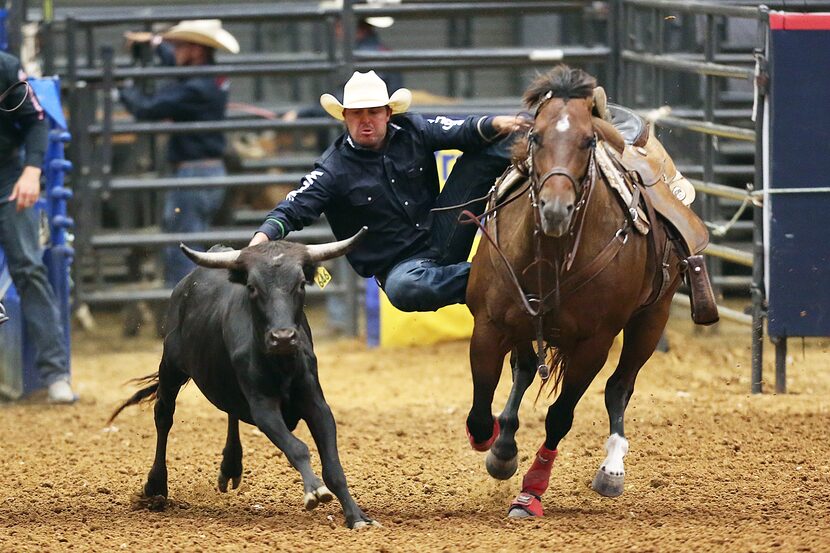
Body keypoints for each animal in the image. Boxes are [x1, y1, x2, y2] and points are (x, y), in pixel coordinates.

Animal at [468, 66, 688, 516]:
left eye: (588, 141)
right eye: (535, 136)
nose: (556, 209)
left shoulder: (593, 344)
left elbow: (560, 416)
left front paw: (531, 491)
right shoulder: (489, 325)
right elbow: (481, 411)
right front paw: (498, 449)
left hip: (651, 319)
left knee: (620, 386)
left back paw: (612, 467)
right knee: (522, 370)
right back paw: (504, 446)